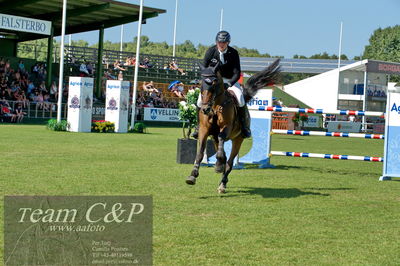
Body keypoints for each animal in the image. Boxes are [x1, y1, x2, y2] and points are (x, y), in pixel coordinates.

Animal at [186, 58, 280, 192]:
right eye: (200, 83)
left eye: (214, 83)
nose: (205, 109)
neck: (215, 106)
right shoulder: (204, 130)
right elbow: (200, 153)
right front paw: (192, 175)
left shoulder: (226, 128)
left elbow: (222, 149)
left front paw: (218, 166)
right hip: (215, 138)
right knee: (223, 155)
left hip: (238, 139)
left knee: (229, 162)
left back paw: (222, 183)